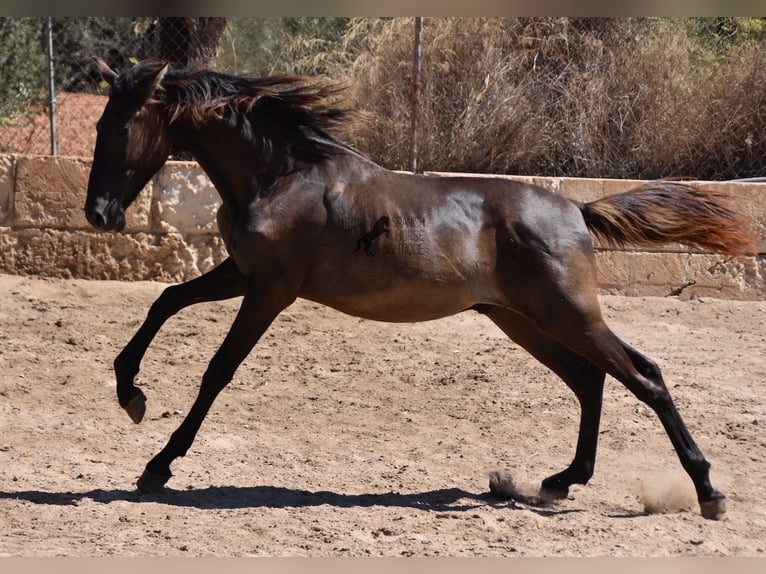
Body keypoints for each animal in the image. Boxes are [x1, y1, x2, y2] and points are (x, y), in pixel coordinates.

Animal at [84, 58, 756, 520]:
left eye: (119, 128)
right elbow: (165, 300)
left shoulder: (271, 289)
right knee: (591, 379)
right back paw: (558, 482)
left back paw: (709, 492)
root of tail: (576, 210)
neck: (282, 175)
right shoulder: (241, 274)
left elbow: (217, 371)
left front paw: (158, 464)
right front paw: (130, 394)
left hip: (568, 315)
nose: (99, 215)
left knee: (645, 376)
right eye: (98, 124)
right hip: (523, 319)